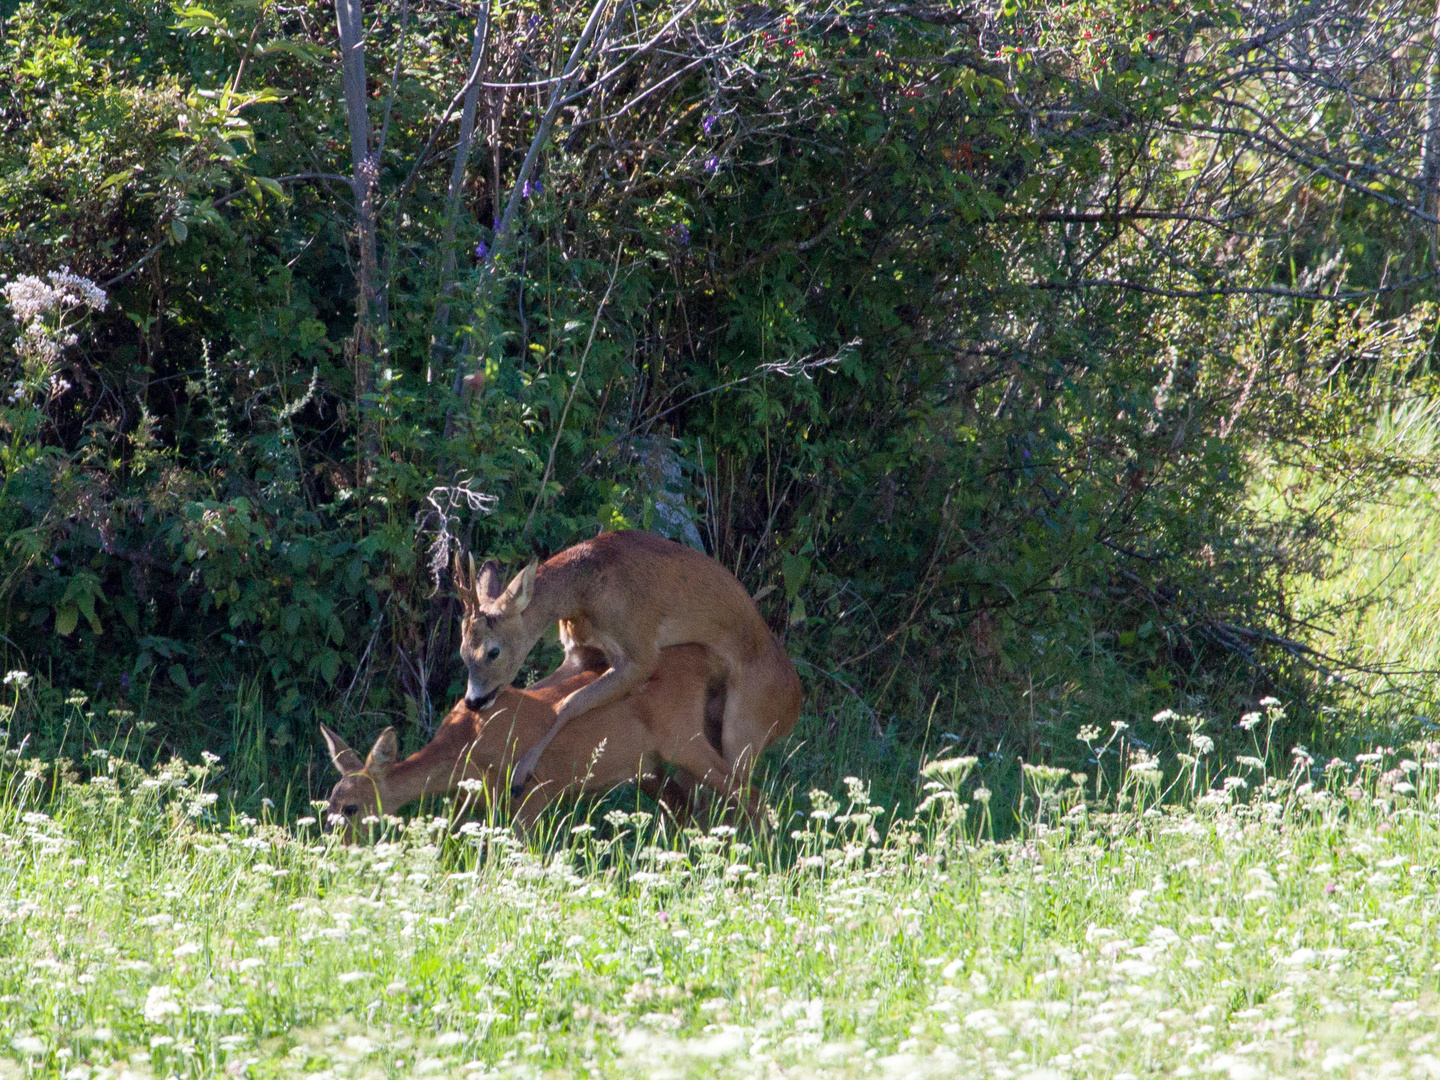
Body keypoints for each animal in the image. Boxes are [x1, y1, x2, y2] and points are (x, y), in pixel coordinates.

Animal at [322, 642, 771, 835]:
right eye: (328, 805)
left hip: (685, 739)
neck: (464, 744)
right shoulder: (480, 797)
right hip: (648, 767)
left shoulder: (537, 789)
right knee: (690, 809)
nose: (339, 848)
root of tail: (705, 660)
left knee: (751, 794)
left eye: (351, 809)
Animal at [457, 532, 806, 794]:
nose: (474, 700)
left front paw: (520, 773)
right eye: (462, 651)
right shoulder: (579, 654)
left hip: (747, 725)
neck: (584, 594)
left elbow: (569, 703)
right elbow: (545, 692)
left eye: (493, 651)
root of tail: (795, 704)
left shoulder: (640, 651)